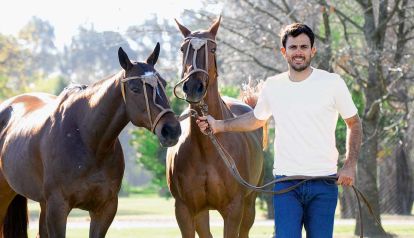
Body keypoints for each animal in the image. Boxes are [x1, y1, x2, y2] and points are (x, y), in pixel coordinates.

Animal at [0, 43, 181, 238]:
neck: (87, 141)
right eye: (134, 88)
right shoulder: (57, 208)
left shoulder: (105, 208)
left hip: (42, 203)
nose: (171, 130)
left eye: (164, 83)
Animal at [167, 17, 264, 238]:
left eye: (212, 49)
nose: (193, 87)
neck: (207, 149)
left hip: (250, 203)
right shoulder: (184, 210)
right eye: (182, 48)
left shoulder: (234, 209)